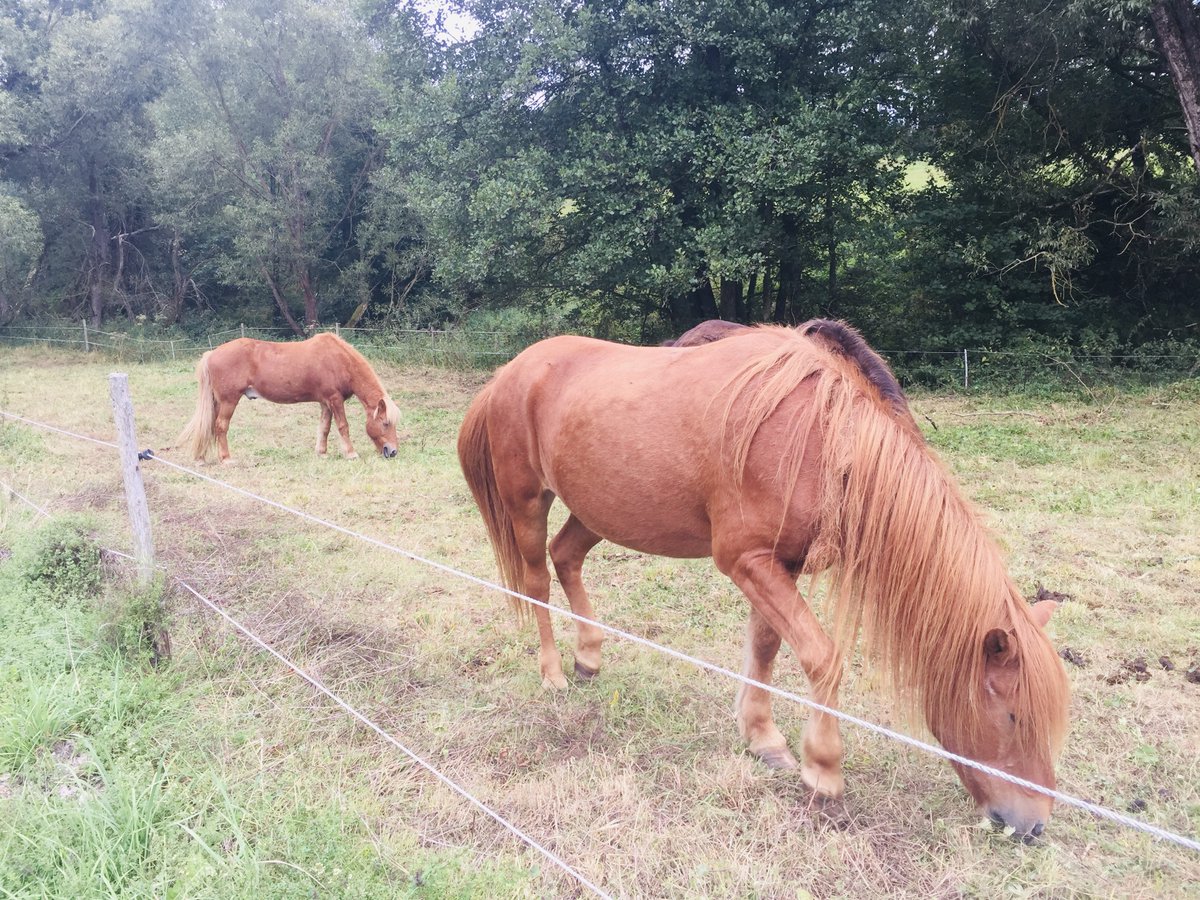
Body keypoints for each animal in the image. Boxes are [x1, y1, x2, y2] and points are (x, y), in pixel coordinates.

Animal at [176, 333, 401, 464]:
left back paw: (201, 458)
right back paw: (226, 459)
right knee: (220, 426)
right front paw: (351, 453)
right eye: (385, 423)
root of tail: (211, 354)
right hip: (229, 401)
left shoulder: (325, 402)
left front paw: (322, 452)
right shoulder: (335, 400)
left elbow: (325, 428)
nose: (392, 452)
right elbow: (343, 426)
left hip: (217, 402)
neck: (339, 360)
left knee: (208, 426)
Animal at [457, 321, 1069, 838]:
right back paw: (554, 674)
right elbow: (823, 658)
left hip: (597, 512)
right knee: (536, 582)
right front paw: (823, 773)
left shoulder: (779, 564)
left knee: (566, 559)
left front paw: (763, 739)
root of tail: (511, 371)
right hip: (527, 503)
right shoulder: (747, 561)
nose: (1034, 825)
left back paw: (589, 655)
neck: (820, 434)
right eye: (1012, 716)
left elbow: (766, 646)